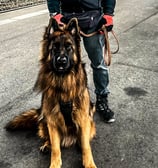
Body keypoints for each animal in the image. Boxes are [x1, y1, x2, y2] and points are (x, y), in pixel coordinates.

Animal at [5, 17, 96, 167]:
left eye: (69, 47)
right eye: (55, 48)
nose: (61, 61)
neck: (63, 82)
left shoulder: (83, 118)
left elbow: (86, 147)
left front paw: (89, 164)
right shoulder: (52, 121)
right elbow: (55, 148)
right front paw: (54, 164)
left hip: (90, 122)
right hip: (44, 121)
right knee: (50, 140)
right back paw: (46, 144)